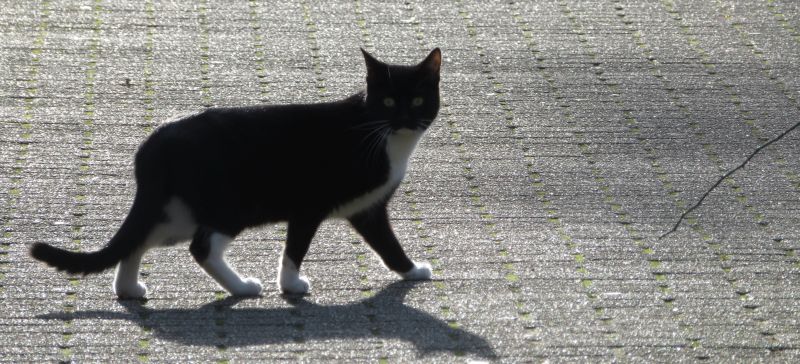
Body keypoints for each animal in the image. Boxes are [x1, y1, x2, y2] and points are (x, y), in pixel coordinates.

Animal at [31, 48, 440, 298]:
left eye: (419, 100)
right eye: (388, 100)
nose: (404, 118)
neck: (382, 137)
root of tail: (156, 141)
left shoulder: (368, 211)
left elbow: (388, 245)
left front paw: (410, 271)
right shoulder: (309, 205)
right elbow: (295, 248)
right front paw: (291, 285)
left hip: (180, 211)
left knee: (140, 239)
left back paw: (129, 290)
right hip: (232, 205)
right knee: (201, 247)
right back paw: (242, 288)